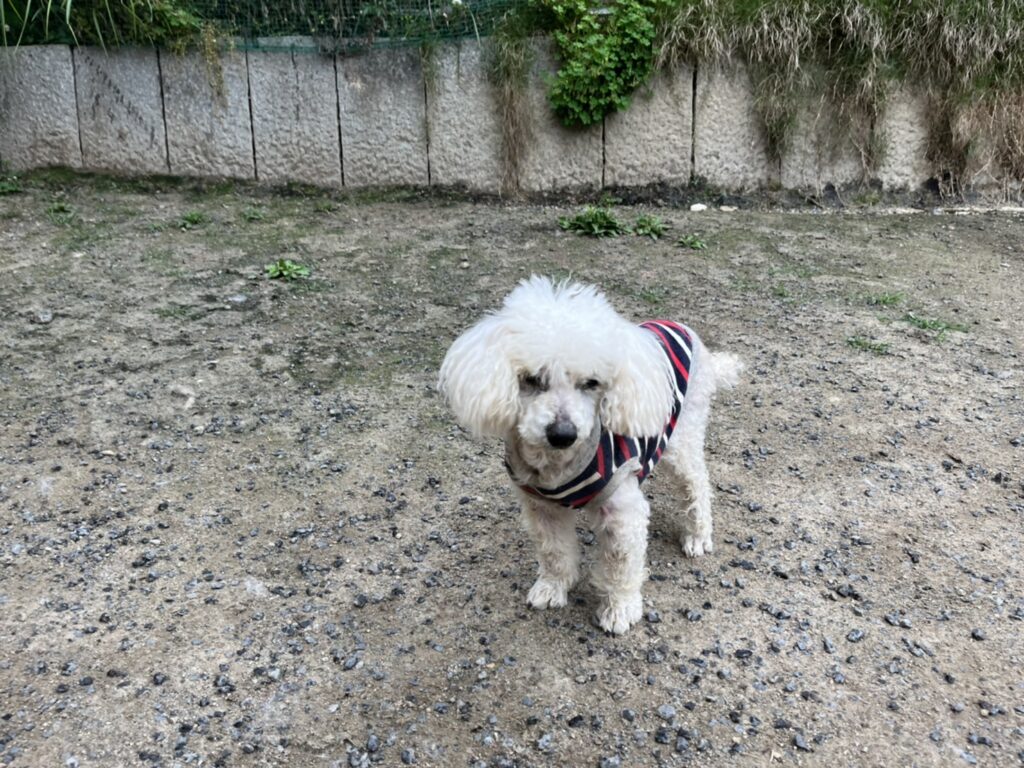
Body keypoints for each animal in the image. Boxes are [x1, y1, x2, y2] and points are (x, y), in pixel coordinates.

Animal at [438, 276, 742, 634]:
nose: (562, 434)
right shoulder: (541, 508)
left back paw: (697, 535)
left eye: (592, 383)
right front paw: (552, 587)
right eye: (531, 379)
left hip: (682, 439)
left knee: (697, 483)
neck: (558, 468)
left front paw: (620, 609)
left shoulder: (621, 510)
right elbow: (554, 552)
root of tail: (684, 329)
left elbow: (621, 564)